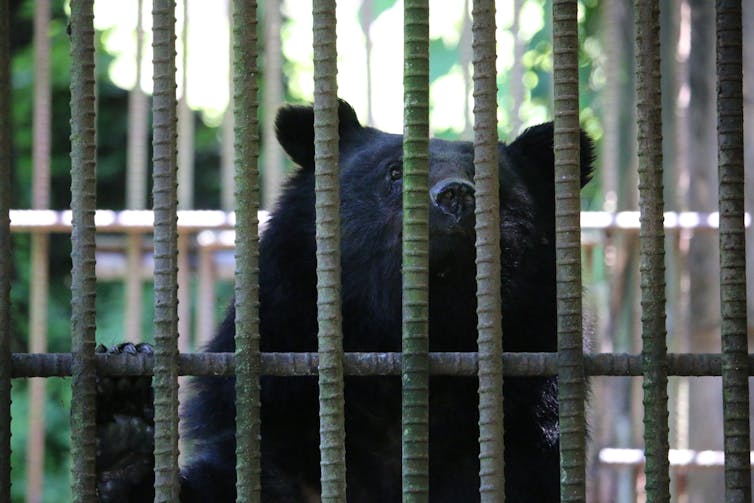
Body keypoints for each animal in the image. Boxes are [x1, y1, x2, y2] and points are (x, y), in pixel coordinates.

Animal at [95, 99, 594, 503]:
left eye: (491, 184)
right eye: (395, 172)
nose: (455, 196)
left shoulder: (528, 413)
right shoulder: (280, 382)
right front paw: (122, 411)